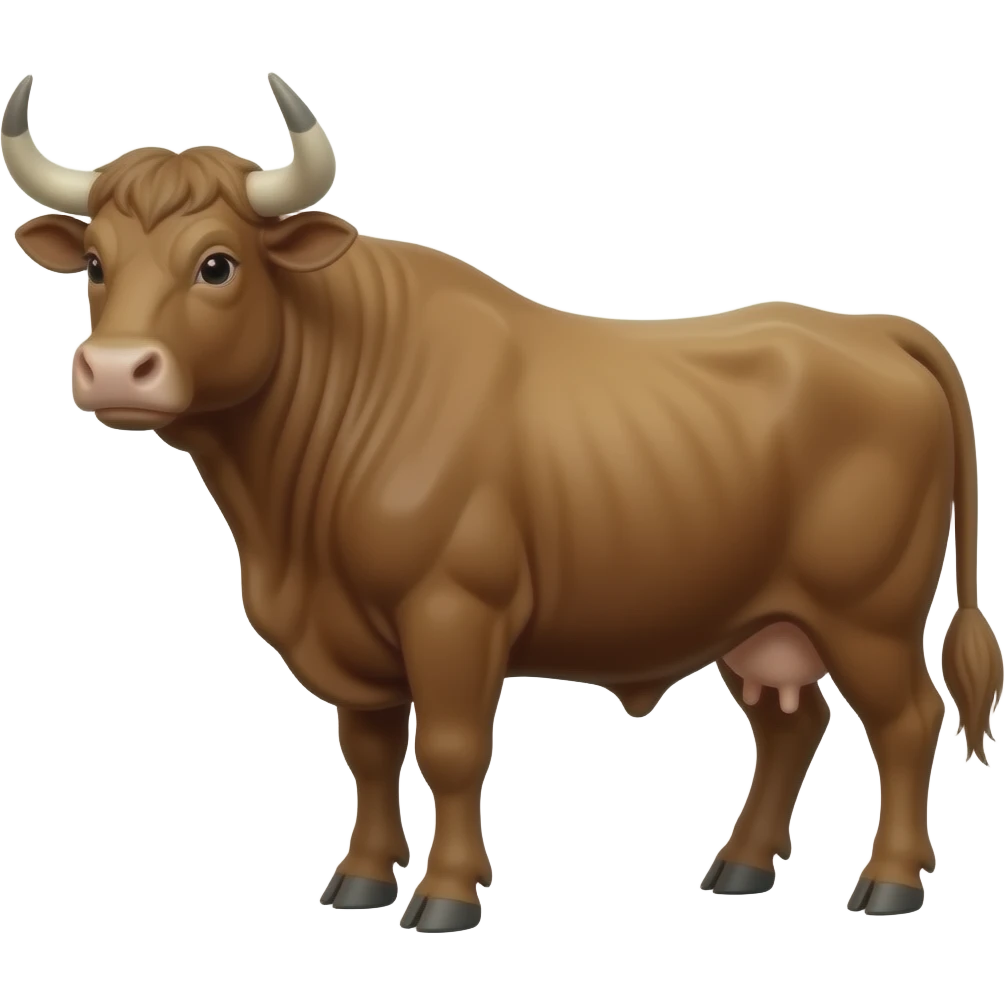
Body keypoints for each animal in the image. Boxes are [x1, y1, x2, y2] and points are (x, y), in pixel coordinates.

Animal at [5, 72, 1001, 933]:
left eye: (217, 265)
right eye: (95, 263)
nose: (114, 370)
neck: (288, 532)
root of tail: (869, 329)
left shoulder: (452, 610)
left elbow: (450, 750)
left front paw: (446, 894)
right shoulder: (353, 638)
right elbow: (369, 753)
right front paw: (359, 878)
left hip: (867, 613)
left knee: (905, 723)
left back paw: (889, 883)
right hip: (760, 618)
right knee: (792, 726)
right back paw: (740, 867)